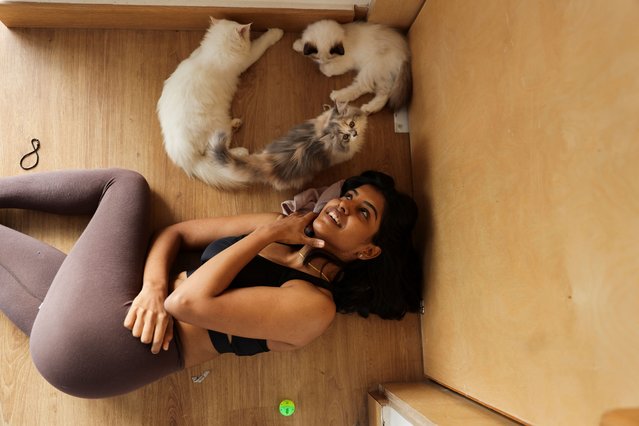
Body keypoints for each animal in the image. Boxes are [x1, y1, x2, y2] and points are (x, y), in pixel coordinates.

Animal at [157, 18, 282, 186]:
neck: (211, 52)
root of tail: (186, 158)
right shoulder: (247, 58)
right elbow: (262, 43)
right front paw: (276, 32)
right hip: (218, 125)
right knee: (217, 153)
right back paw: (241, 150)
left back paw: (236, 124)